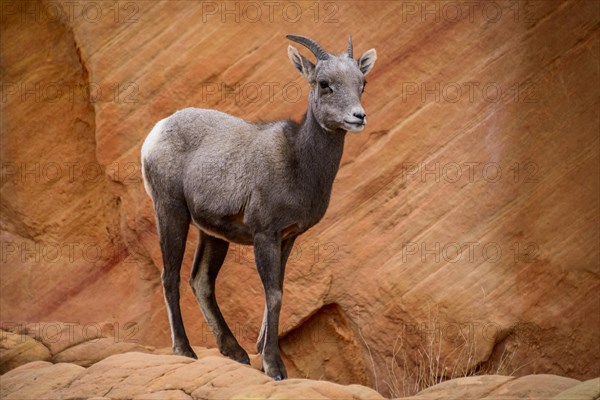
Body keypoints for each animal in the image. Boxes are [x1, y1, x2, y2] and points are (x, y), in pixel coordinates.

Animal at [139, 33, 376, 378]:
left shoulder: (287, 237)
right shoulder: (265, 234)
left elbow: (277, 291)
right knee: (170, 276)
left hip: (212, 234)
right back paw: (185, 350)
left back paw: (235, 352)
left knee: (201, 281)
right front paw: (274, 367)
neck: (298, 162)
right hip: (171, 213)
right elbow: (273, 295)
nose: (358, 117)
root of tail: (157, 132)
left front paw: (262, 353)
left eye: (362, 82)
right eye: (324, 84)